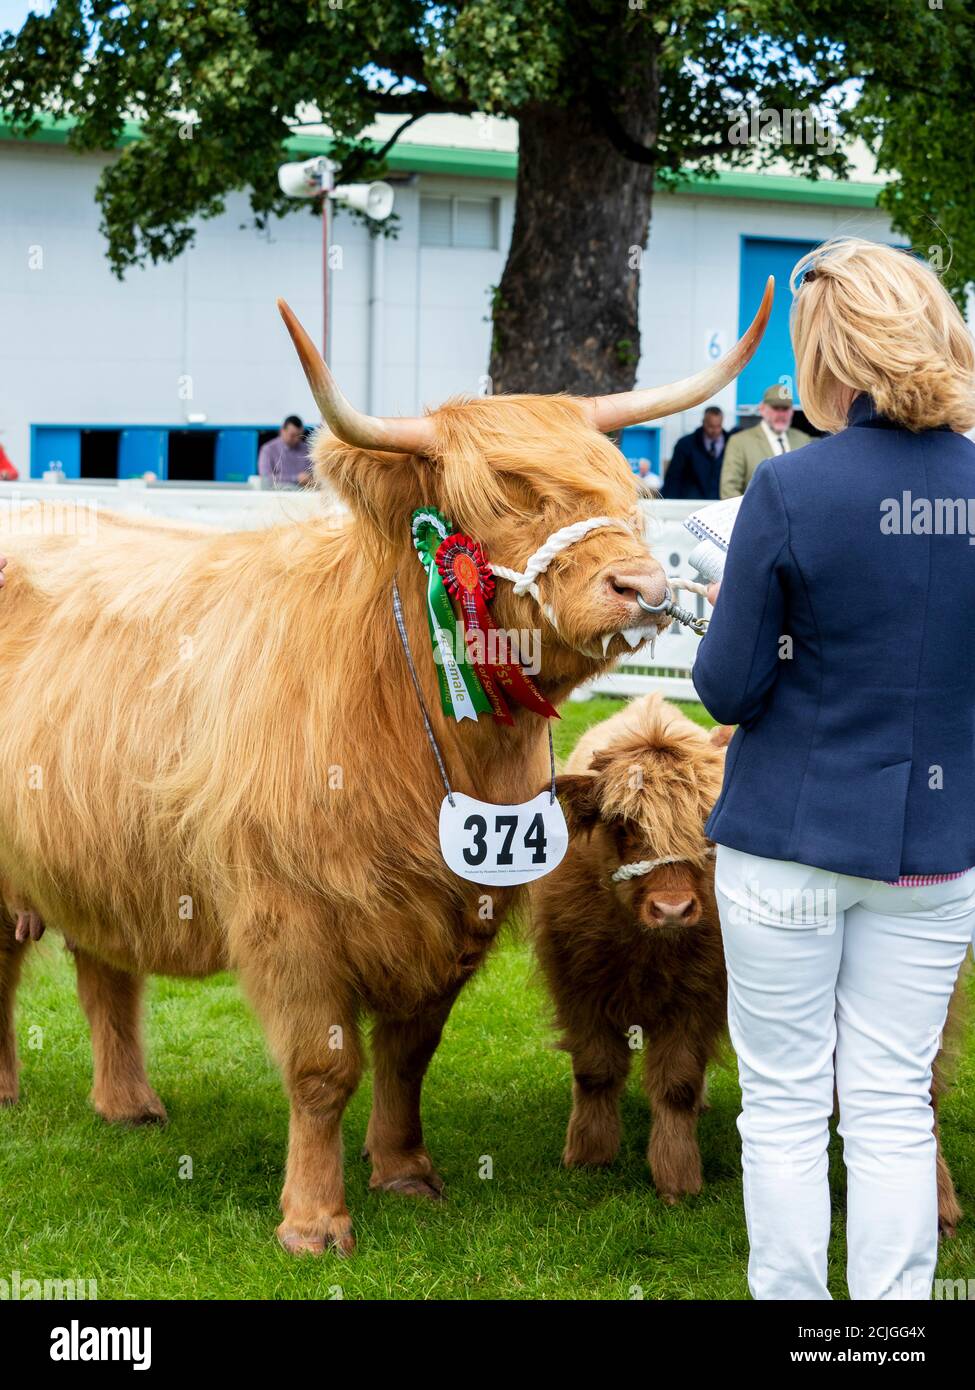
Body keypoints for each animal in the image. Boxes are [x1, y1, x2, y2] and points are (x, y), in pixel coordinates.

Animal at [0, 283, 772, 1254]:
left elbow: (407, 1054)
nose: (644, 587)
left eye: (620, 485)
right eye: (506, 490)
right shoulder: (287, 915)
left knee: (105, 971)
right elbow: (324, 1068)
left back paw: (129, 1104)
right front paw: (314, 1221)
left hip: (101, 852)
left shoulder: (453, 909)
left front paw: (404, 1171)